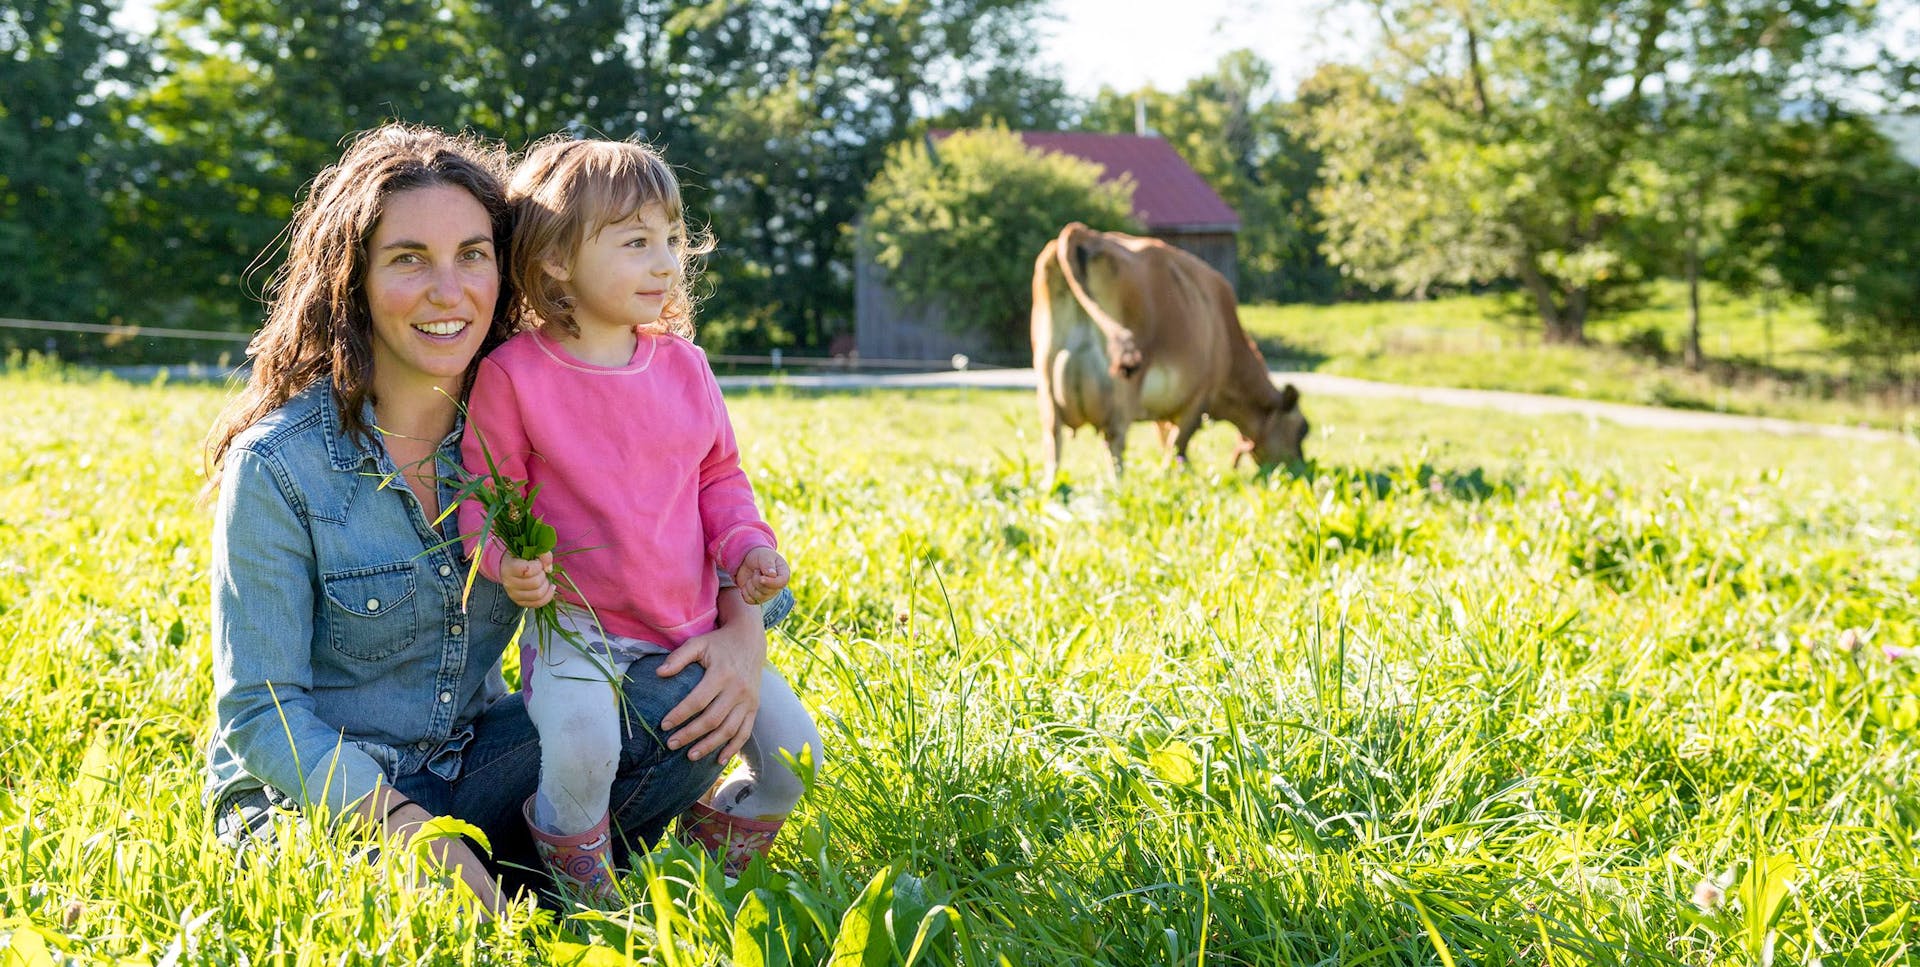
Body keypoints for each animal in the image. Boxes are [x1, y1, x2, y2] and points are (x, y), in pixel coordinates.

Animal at [1029, 221, 1313, 479]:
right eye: (1302, 430)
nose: (1301, 469)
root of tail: (1082, 232)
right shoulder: (1199, 397)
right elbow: (1177, 447)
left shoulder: (1166, 408)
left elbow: (1167, 441)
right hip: (1123, 388)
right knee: (1115, 445)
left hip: (1046, 376)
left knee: (1053, 444)